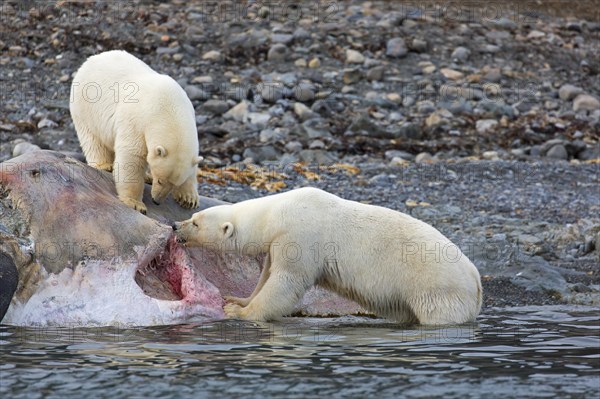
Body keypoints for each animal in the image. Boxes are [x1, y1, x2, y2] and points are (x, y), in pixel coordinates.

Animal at [70, 50, 202, 214]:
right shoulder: (137, 122)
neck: (169, 107)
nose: (157, 201)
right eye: (160, 180)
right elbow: (132, 156)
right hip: (86, 108)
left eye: (174, 184)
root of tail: (91, 59)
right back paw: (105, 165)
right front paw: (135, 203)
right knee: (93, 140)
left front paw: (188, 198)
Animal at [173, 188, 482, 324]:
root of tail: (477, 279)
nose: (176, 226)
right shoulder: (278, 242)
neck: (276, 212)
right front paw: (238, 299)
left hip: (436, 290)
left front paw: (239, 312)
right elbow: (266, 275)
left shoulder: (300, 236)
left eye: (196, 222)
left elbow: (286, 282)